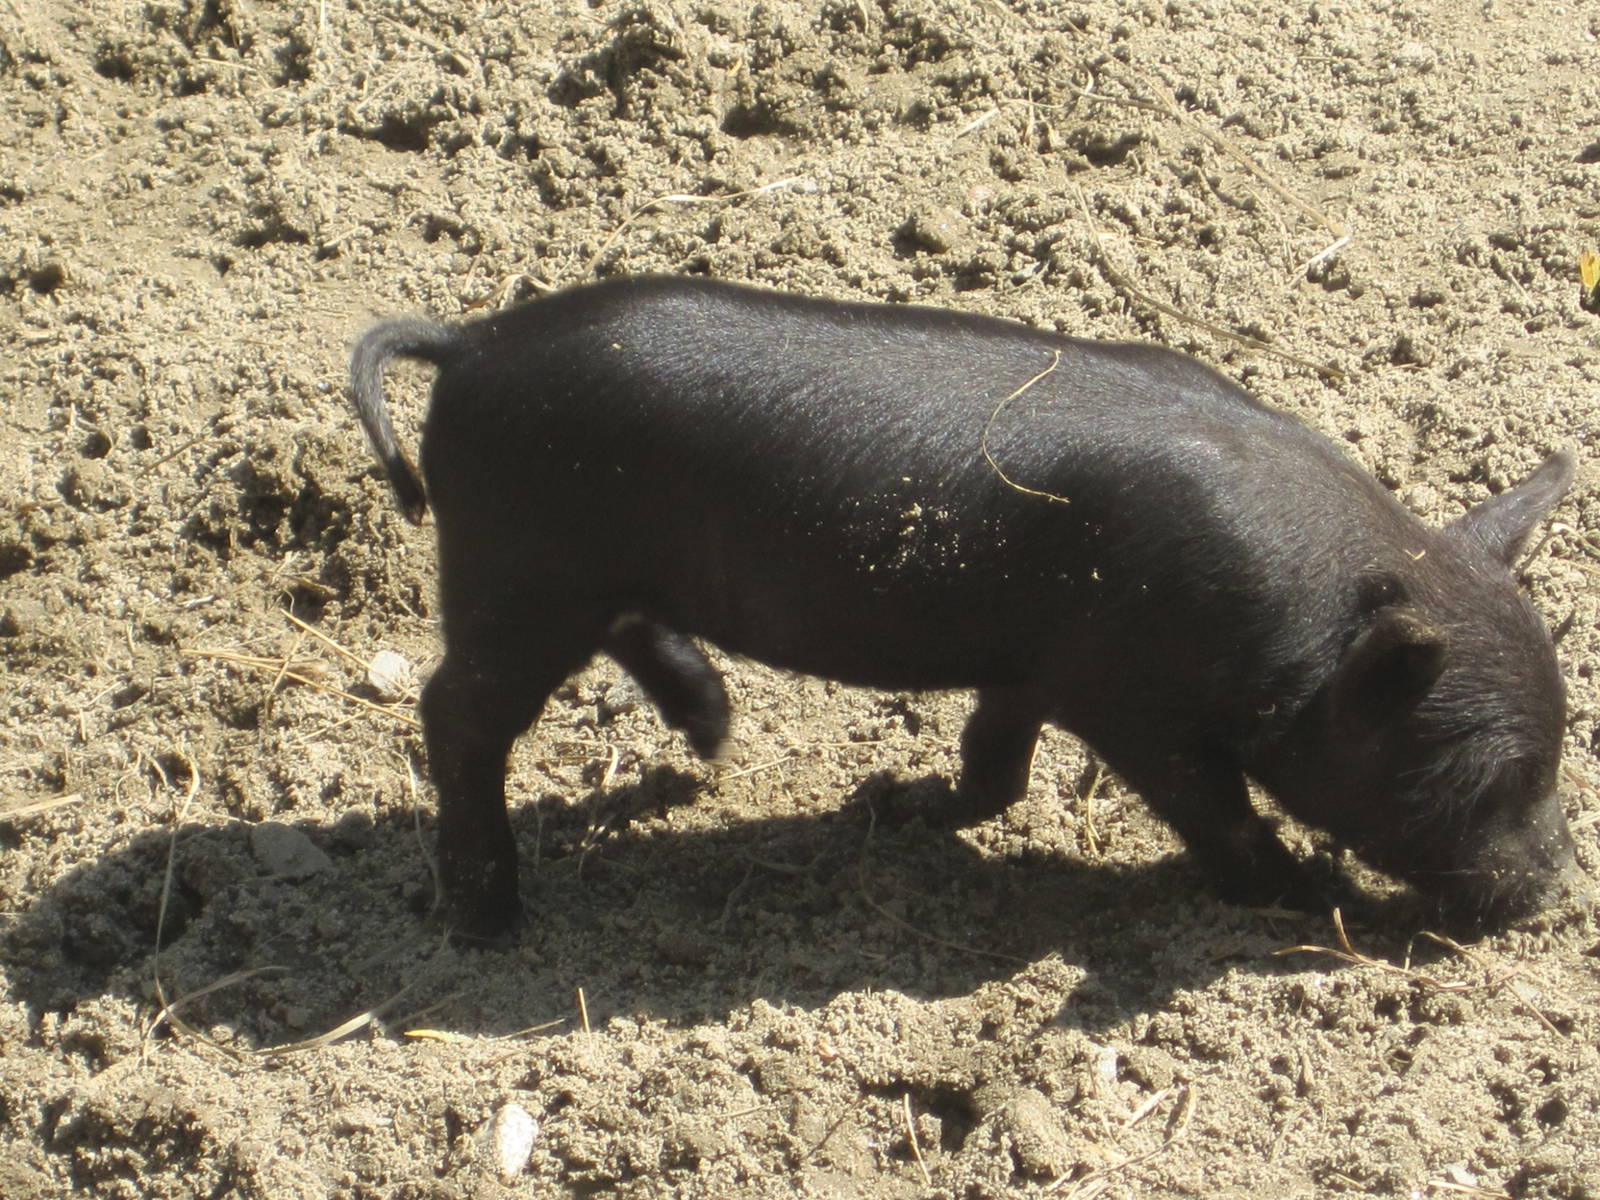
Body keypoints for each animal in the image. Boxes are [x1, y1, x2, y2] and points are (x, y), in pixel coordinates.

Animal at [349, 274, 1581, 940]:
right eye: (1487, 779)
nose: (1558, 890)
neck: (1302, 627)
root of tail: (472, 342)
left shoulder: (1034, 660)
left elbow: (996, 761)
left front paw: (895, 805)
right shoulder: (1128, 696)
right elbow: (1214, 813)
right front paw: (1308, 893)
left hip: (578, 569)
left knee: (625, 636)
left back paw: (713, 740)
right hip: (516, 569)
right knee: (455, 711)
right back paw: (493, 920)